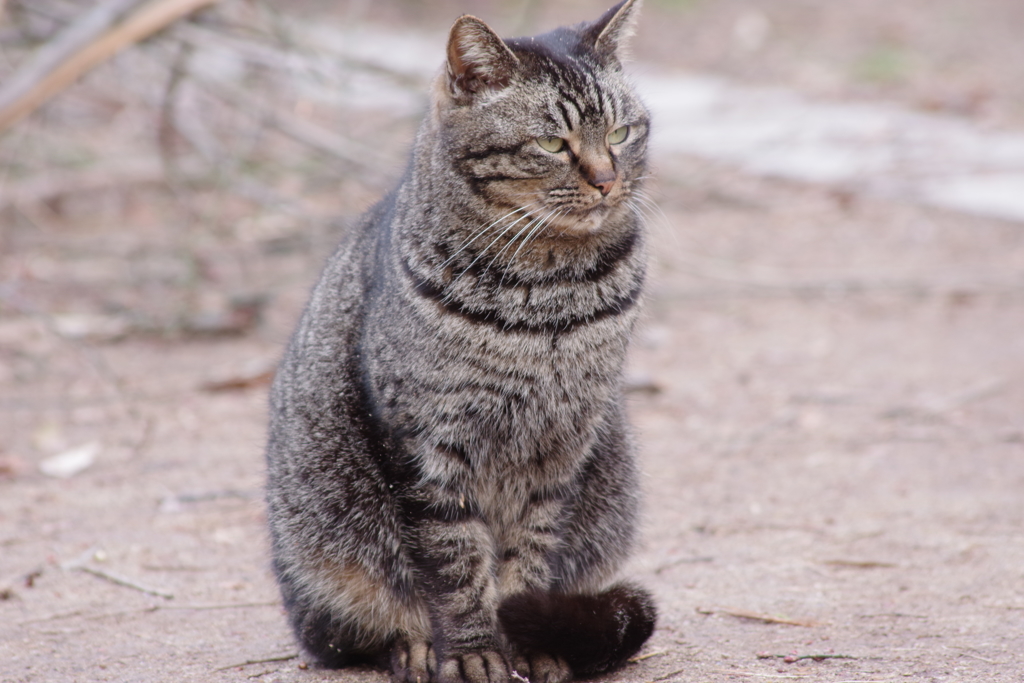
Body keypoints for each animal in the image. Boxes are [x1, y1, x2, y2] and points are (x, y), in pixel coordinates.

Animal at [264, 2, 659, 679]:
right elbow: (455, 564)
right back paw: (415, 644)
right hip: (325, 545)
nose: (607, 180)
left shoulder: (562, 445)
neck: (548, 297)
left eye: (620, 134)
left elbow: (529, 559)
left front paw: (532, 640)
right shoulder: (426, 444)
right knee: (364, 622)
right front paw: (476, 650)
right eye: (552, 143)